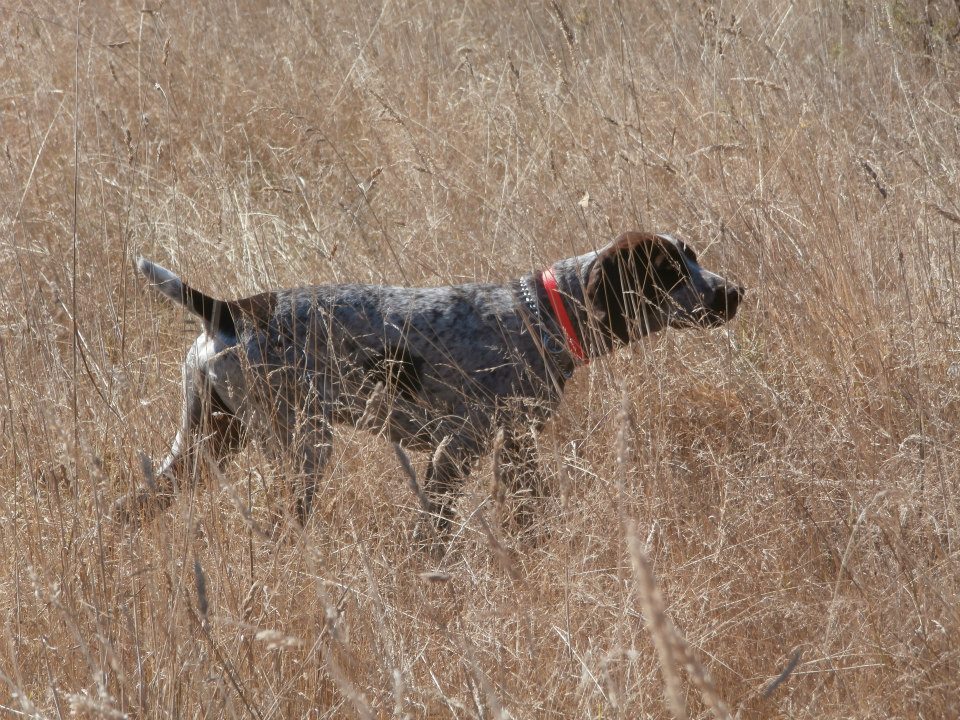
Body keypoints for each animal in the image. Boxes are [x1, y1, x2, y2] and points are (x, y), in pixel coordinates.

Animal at [114, 232, 744, 536]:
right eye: (670, 271)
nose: (733, 292)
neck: (540, 316)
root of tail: (228, 310)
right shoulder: (456, 449)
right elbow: (434, 534)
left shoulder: (514, 448)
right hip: (303, 447)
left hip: (206, 443)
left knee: (132, 504)